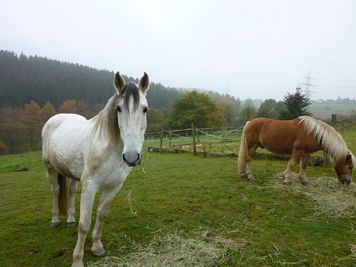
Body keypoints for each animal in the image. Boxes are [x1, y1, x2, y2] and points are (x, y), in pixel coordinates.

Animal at [42, 72, 150, 266]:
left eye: (145, 109)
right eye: (118, 109)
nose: (131, 156)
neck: (110, 148)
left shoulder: (114, 186)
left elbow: (101, 215)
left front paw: (98, 248)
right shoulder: (91, 186)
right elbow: (84, 223)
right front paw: (77, 260)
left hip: (73, 174)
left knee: (71, 191)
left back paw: (70, 219)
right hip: (50, 168)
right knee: (55, 191)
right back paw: (55, 221)